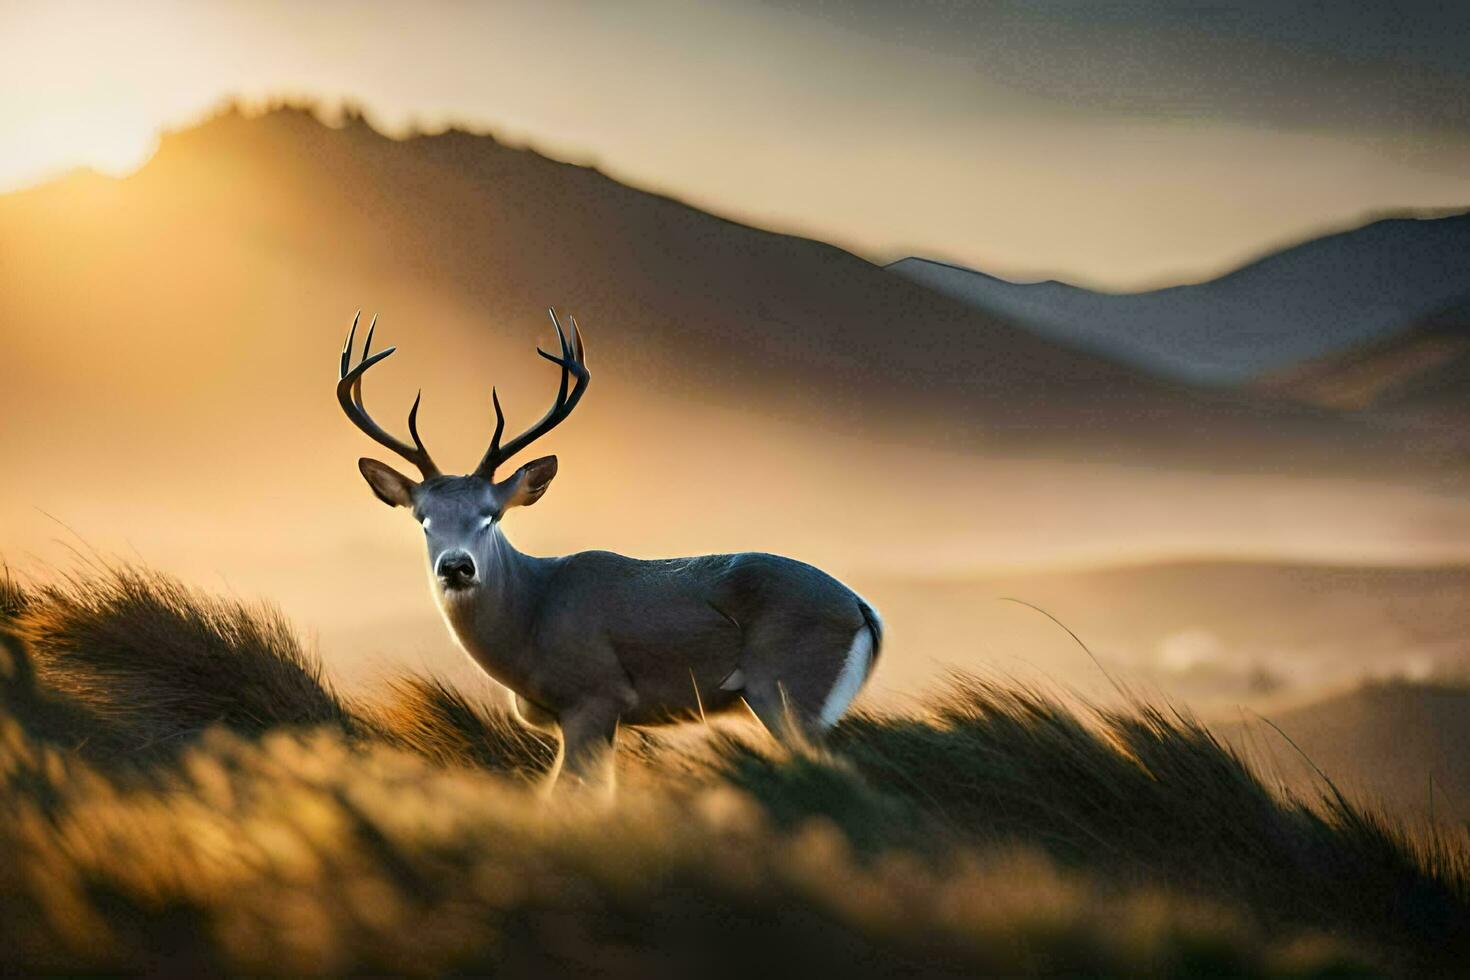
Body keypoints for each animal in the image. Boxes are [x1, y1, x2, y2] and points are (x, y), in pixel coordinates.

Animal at [336, 310, 882, 787]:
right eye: (423, 520)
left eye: (491, 516)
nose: (456, 567)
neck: (530, 622)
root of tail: (862, 609)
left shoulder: (596, 696)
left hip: (788, 691)